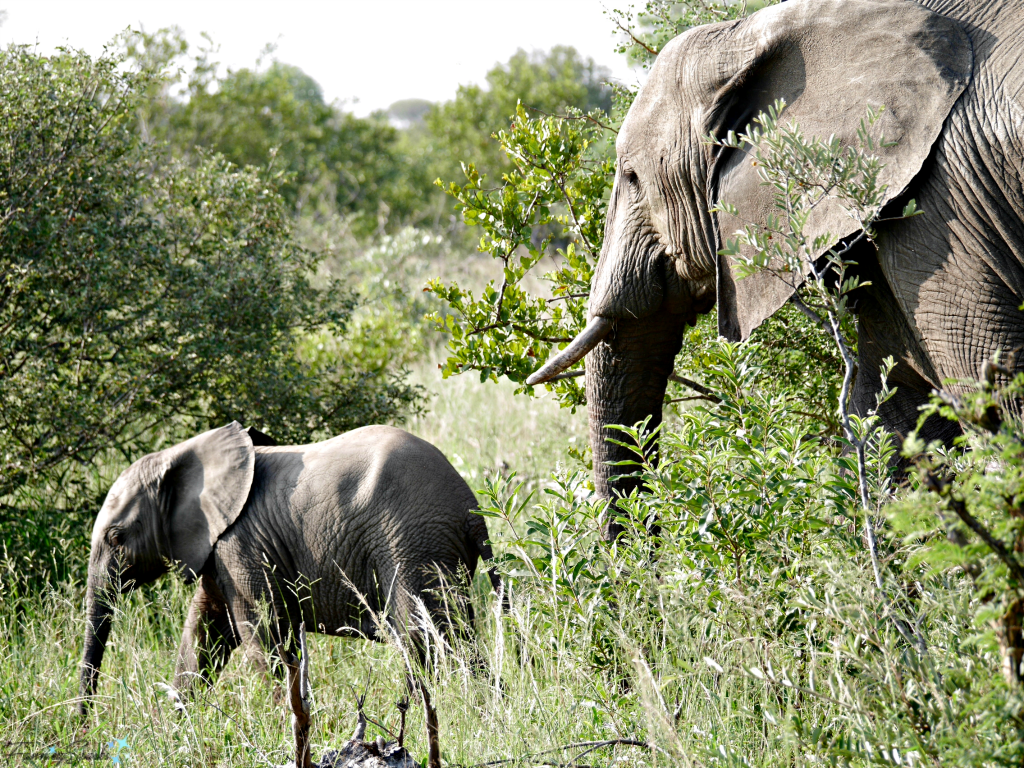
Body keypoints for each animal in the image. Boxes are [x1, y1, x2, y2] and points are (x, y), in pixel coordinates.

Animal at [75, 421, 491, 716]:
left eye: (116, 537)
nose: (83, 724)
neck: (183, 453)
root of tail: (471, 509)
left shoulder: (240, 546)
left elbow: (261, 633)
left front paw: (289, 721)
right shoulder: (218, 551)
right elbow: (204, 631)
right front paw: (177, 728)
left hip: (411, 544)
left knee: (424, 638)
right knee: (455, 638)